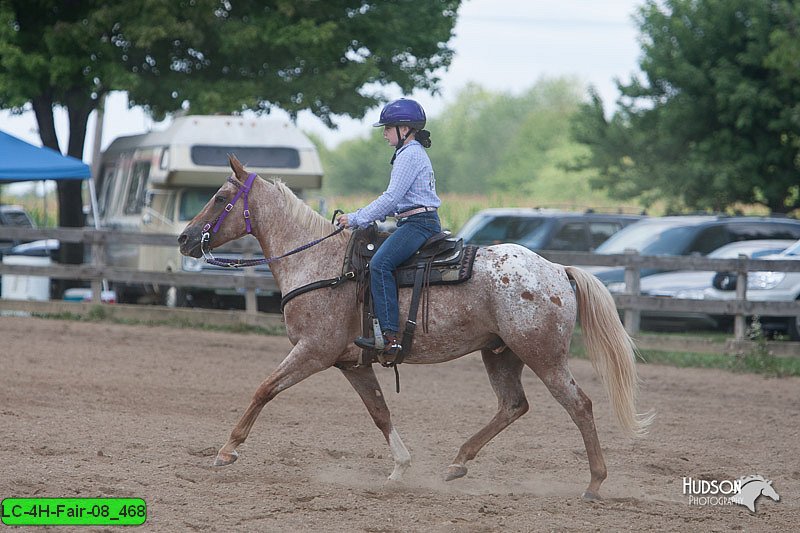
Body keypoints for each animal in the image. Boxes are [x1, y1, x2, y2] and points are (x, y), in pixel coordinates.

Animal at [178, 154, 652, 498]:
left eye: (220, 197)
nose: (184, 239)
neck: (319, 263)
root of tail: (556, 270)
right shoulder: (352, 363)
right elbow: (379, 412)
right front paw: (401, 467)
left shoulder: (313, 351)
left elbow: (264, 389)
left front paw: (226, 451)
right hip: (500, 353)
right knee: (513, 405)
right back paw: (458, 462)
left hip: (544, 356)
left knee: (579, 405)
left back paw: (594, 483)